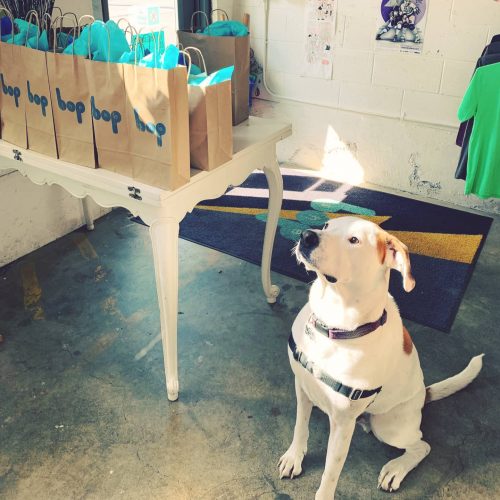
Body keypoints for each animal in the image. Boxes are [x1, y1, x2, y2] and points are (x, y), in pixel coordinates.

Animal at [280, 217, 482, 498]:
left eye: (354, 240)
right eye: (327, 225)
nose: (306, 236)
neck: (333, 324)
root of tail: (423, 394)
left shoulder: (343, 424)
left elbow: (330, 473)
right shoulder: (302, 386)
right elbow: (300, 426)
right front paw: (294, 457)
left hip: (389, 427)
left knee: (422, 445)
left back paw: (396, 469)